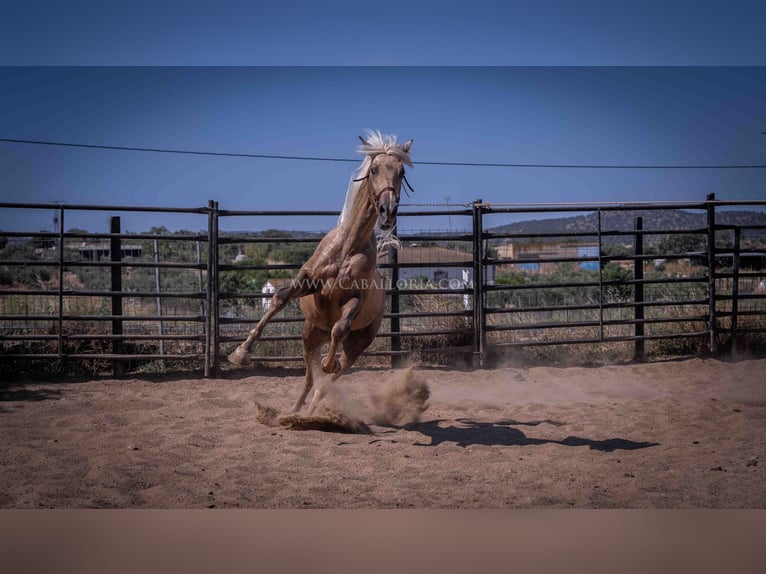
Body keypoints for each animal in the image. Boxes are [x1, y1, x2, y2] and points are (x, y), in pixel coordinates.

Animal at [228, 132, 414, 416]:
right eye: (373, 170)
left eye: (401, 172)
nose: (387, 211)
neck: (347, 247)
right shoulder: (308, 281)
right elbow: (279, 299)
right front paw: (240, 353)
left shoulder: (354, 299)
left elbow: (339, 329)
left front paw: (330, 363)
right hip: (309, 336)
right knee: (309, 378)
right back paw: (294, 411)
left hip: (356, 345)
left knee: (326, 380)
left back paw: (312, 407)